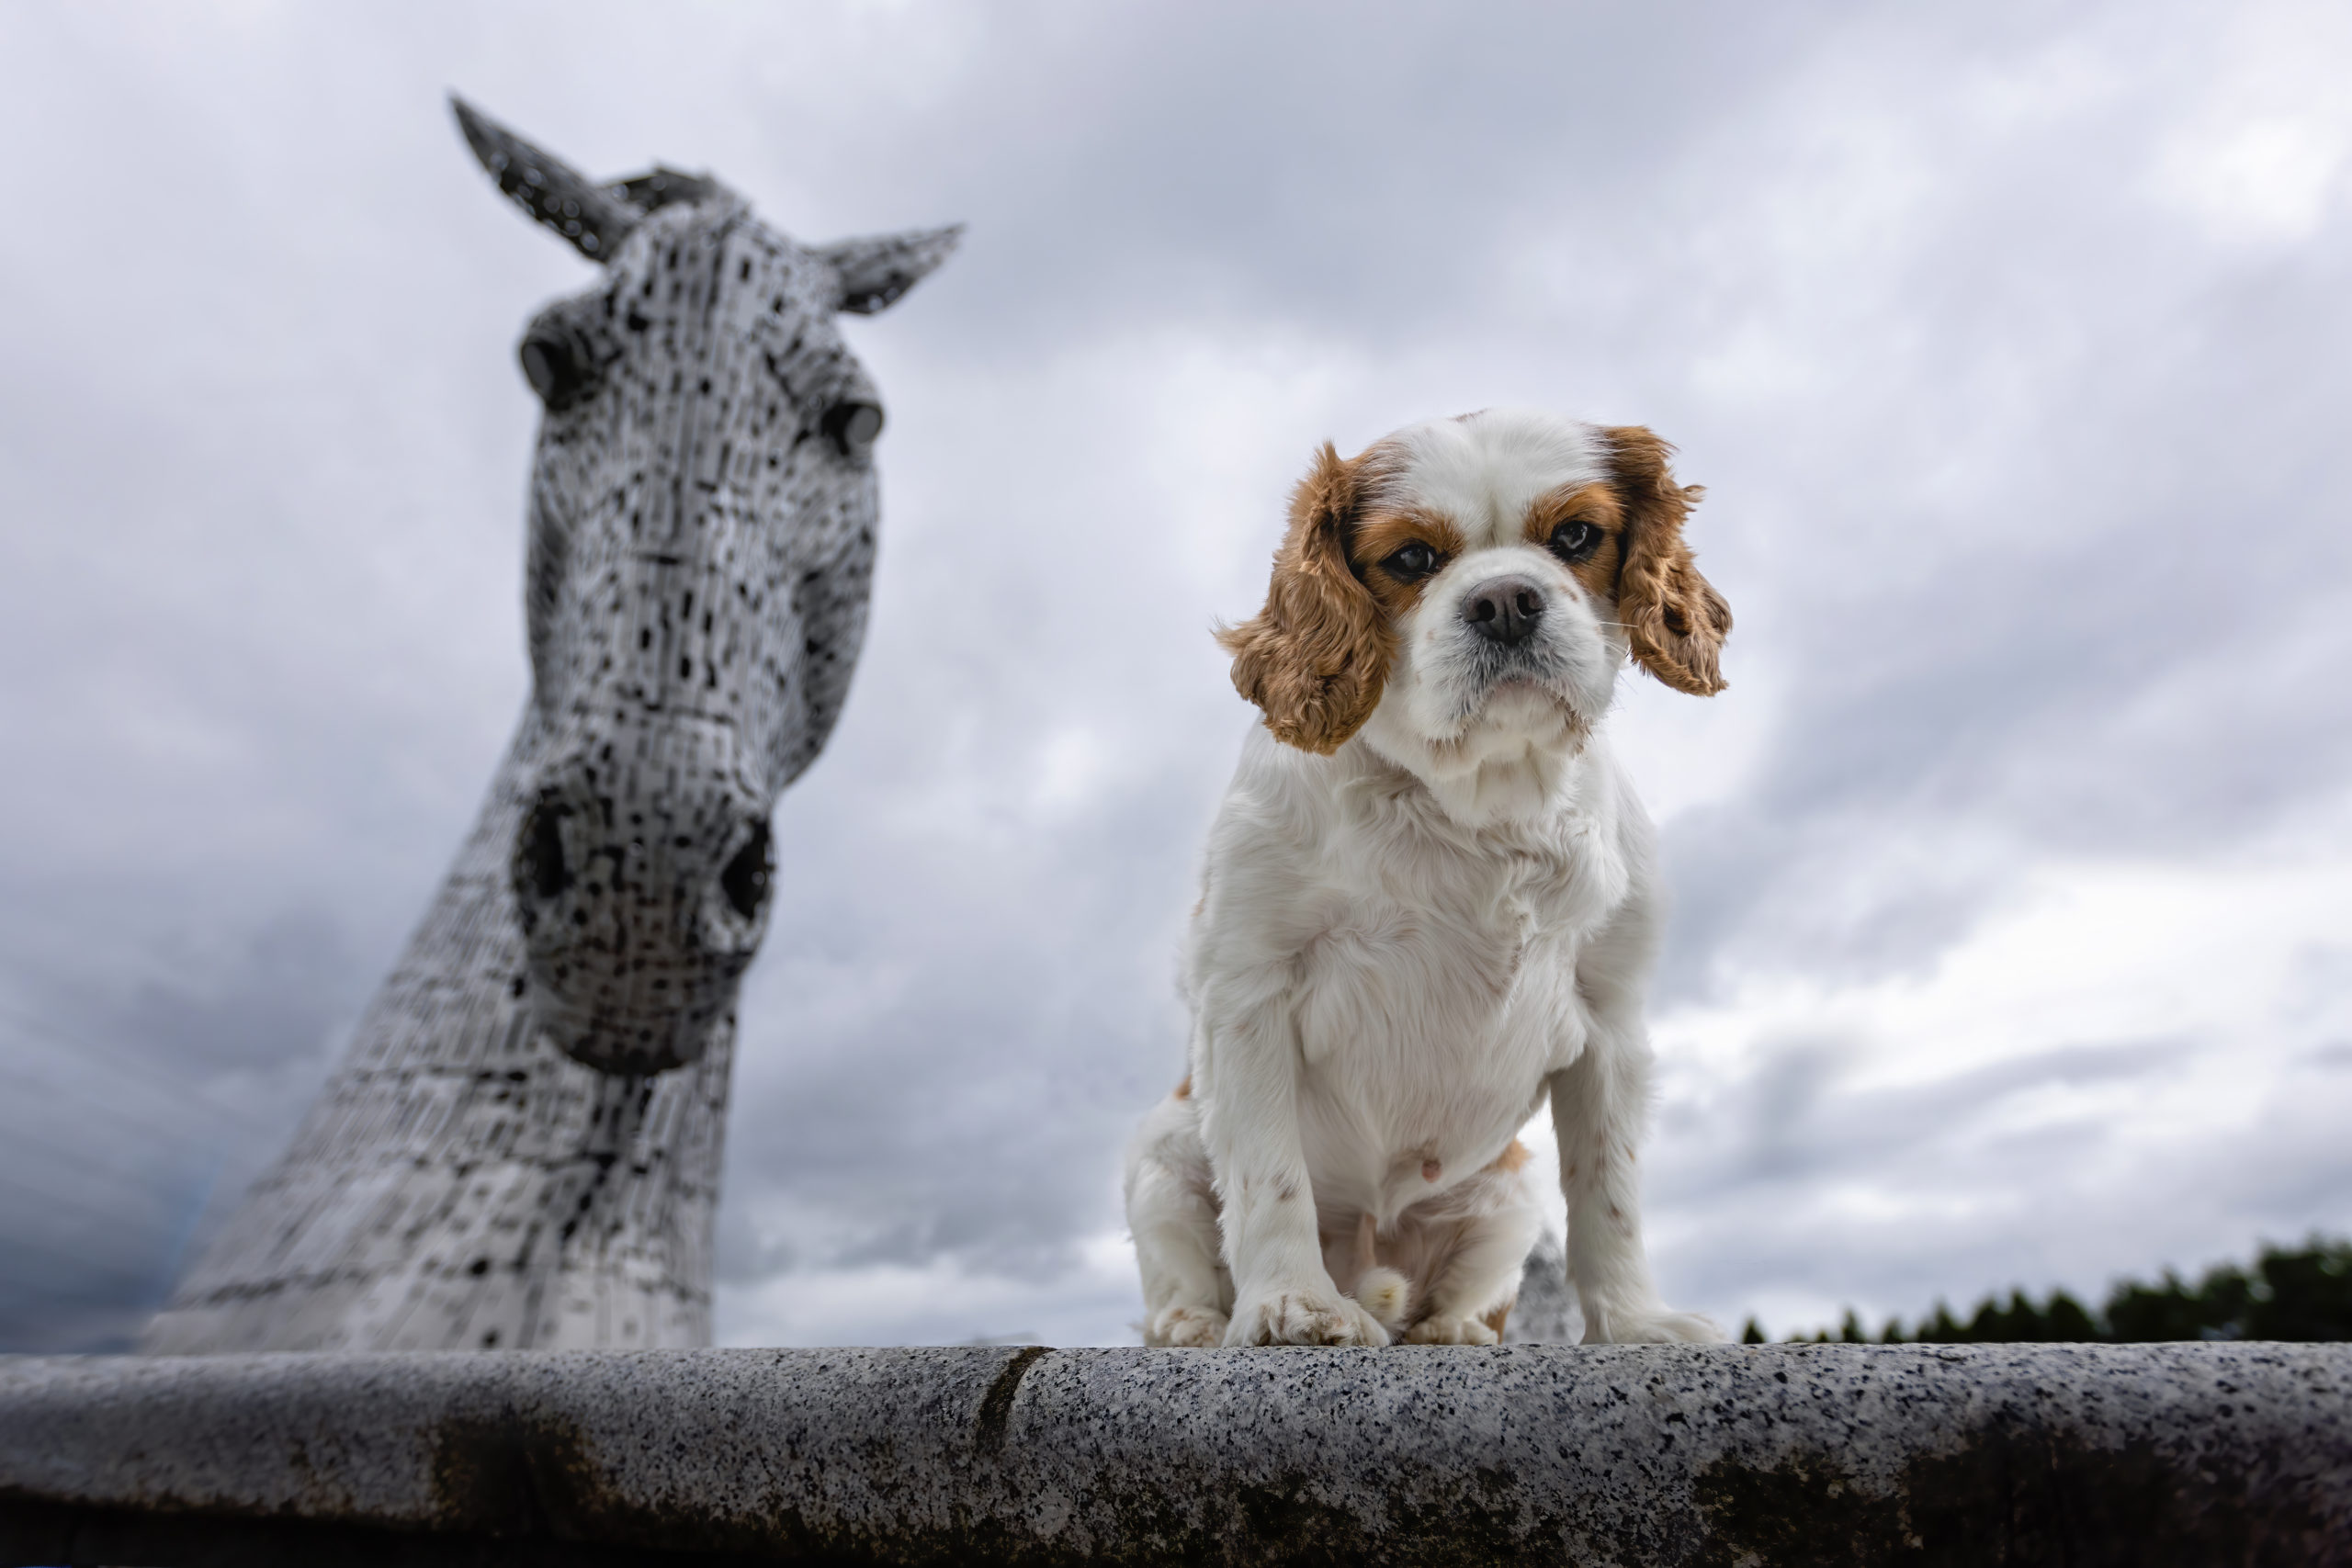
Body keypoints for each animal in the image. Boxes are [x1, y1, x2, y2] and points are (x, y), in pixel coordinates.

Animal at [1119, 409, 1731, 1354]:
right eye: (1410, 558)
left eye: (1577, 536)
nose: (1506, 600)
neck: (1479, 798)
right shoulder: (1247, 990)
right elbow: (1266, 1175)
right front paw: (1292, 1304)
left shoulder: (1612, 1022)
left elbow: (1609, 1191)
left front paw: (1633, 1320)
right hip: (1162, 1150)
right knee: (1182, 1258)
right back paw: (1195, 1321)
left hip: (1507, 1191)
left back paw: (1455, 1327)